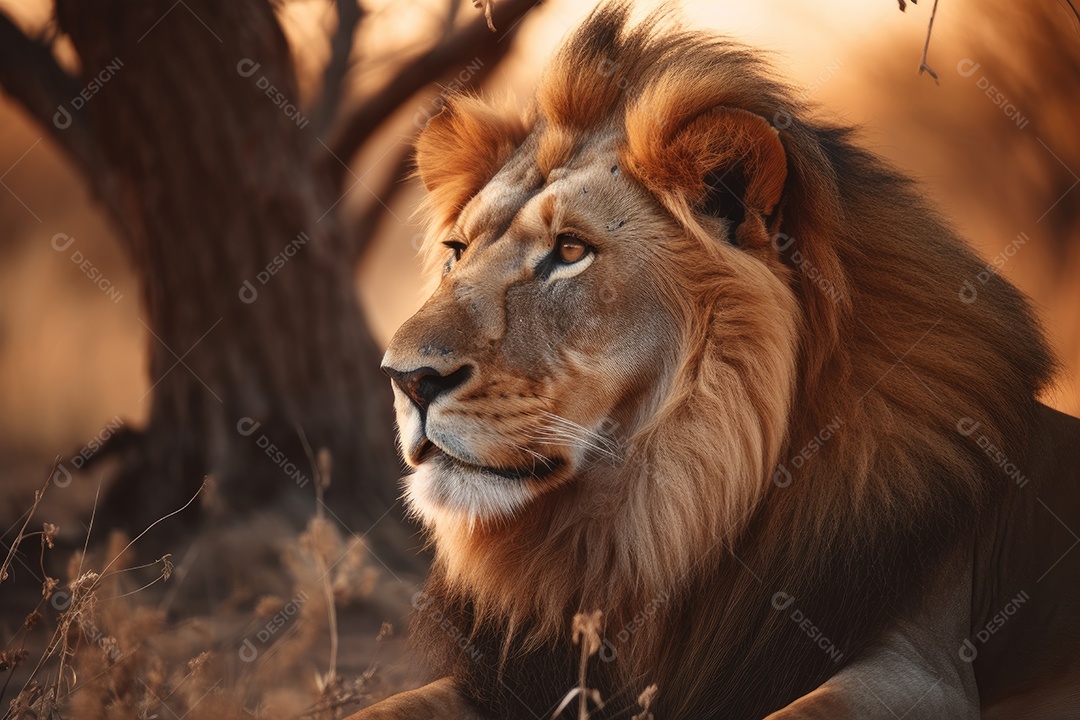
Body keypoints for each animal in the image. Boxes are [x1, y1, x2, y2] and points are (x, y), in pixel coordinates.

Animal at [352, 5, 1080, 719]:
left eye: (570, 250)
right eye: (457, 250)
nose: (406, 379)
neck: (662, 519)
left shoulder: (922, 664)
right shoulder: (515, 679)